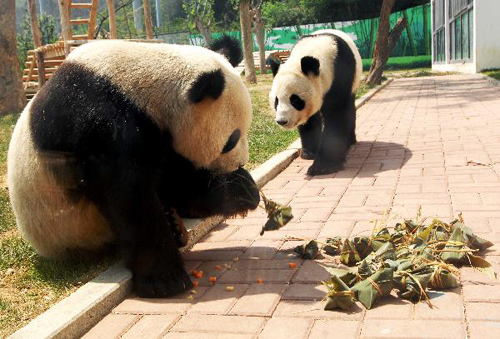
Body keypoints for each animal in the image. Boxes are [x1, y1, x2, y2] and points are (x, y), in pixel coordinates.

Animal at [7, 37, 260, 298]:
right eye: (231, 140)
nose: (239, 163)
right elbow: (131, 197)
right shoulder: (101, 127)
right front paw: (165, 281)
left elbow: (173, 183)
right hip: (71, 229)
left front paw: (243, 190)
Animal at [268, 29, 362, 177]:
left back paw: (350, 141)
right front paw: (309, 153)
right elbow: (310, 121)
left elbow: (337, 114)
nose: (282, 121)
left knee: (350, 109)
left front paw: (323, 167)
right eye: (276, 101)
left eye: (295, 100)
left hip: (354, 82)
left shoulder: (340, 74)